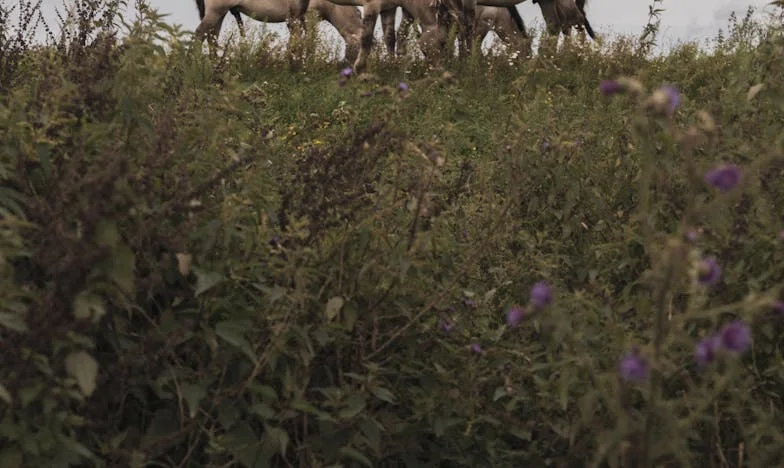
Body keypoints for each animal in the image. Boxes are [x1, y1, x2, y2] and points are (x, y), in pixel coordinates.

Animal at [193, 0, 363, 63]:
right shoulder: (309, 16)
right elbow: (311, 42)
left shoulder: (294, 20)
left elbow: (295, 44)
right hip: (216, 10)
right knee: (200, 34)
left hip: (219, 13)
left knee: (212, 36)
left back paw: (214, 62)